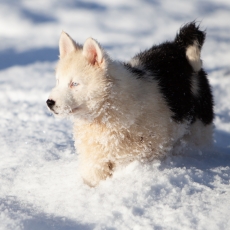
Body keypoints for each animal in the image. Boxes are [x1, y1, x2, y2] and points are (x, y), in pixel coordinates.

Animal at [46, 22, 214, 187]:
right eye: (58, 81)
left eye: (74, 84)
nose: (49, 102)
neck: (107, 111)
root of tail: (178, 46)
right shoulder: (96, 157)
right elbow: (93, 176)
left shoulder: (137, 153)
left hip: (199, 126)